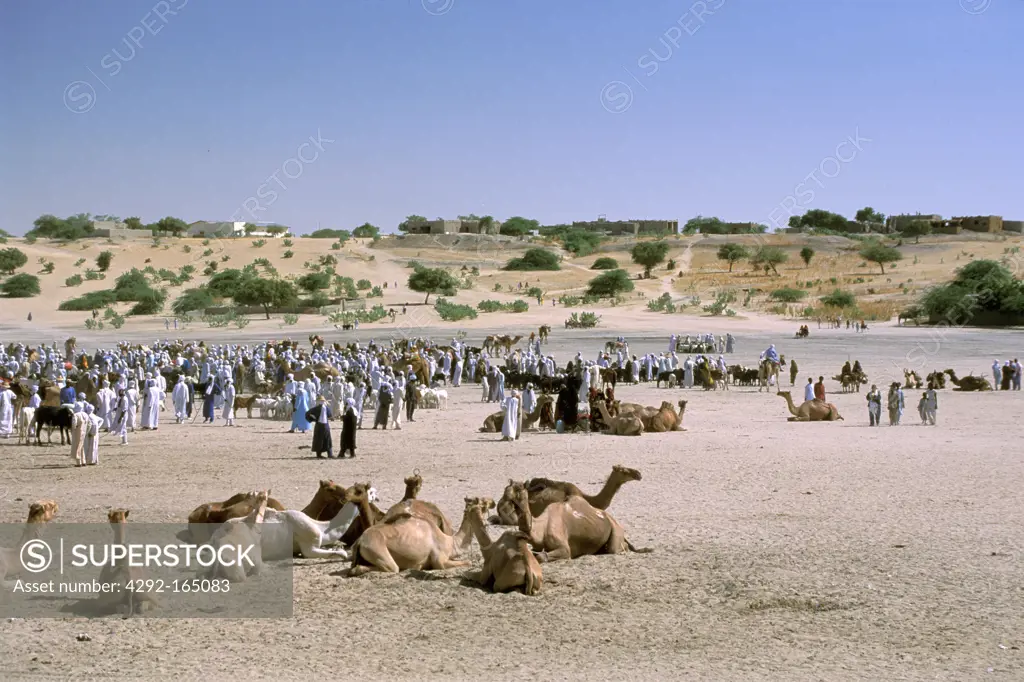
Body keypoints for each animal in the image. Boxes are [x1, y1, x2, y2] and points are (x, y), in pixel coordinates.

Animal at [505, 481, 647, 561]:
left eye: (520, 489)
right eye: (507, 489)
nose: (507, 498)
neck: (539, 527)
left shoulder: (564, 548)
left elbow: (542, 556)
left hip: (616, 529)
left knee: (614, 548)